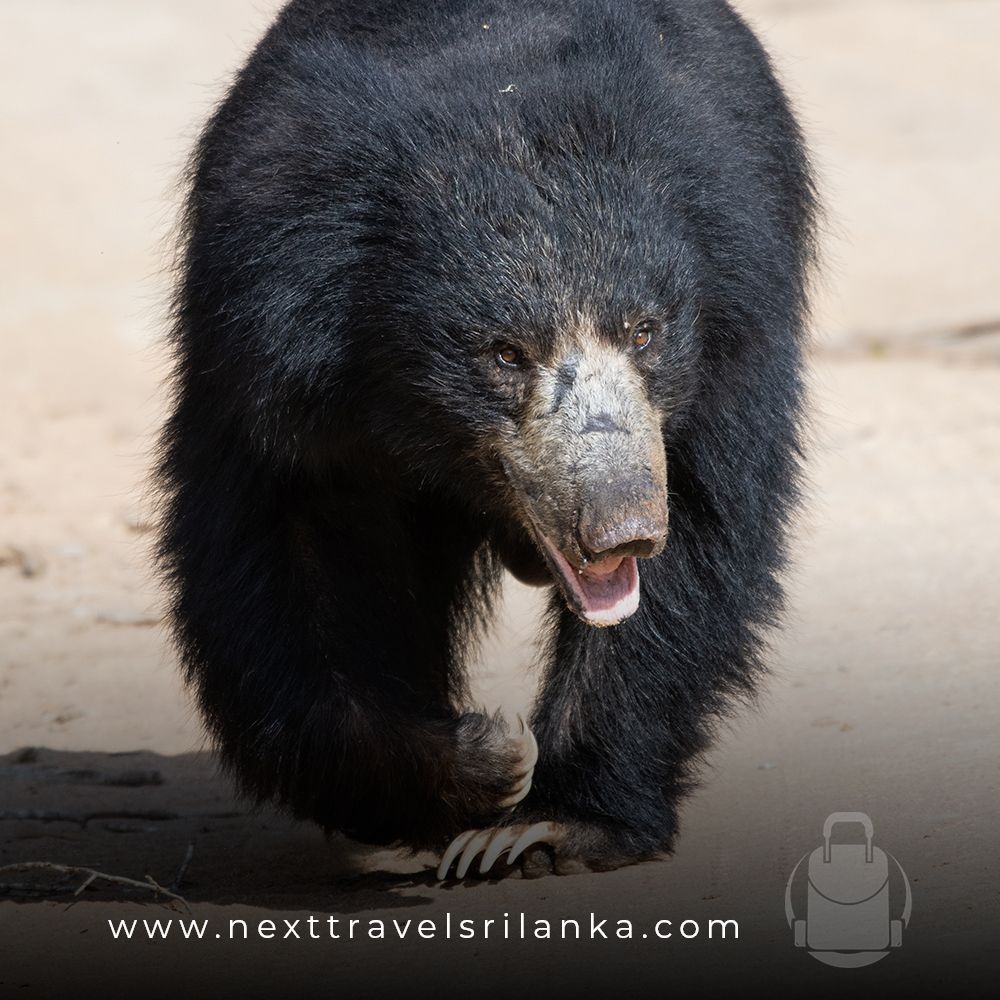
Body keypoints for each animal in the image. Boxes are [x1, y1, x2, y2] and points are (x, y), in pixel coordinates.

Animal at [157, 0, 815, 878]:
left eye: (644, 332)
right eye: (504, 354)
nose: (622, 529)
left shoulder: (736, 317)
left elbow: (704, 532)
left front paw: (550, 822)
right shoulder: (267, 353)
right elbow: (284, 568)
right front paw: (479, 761)